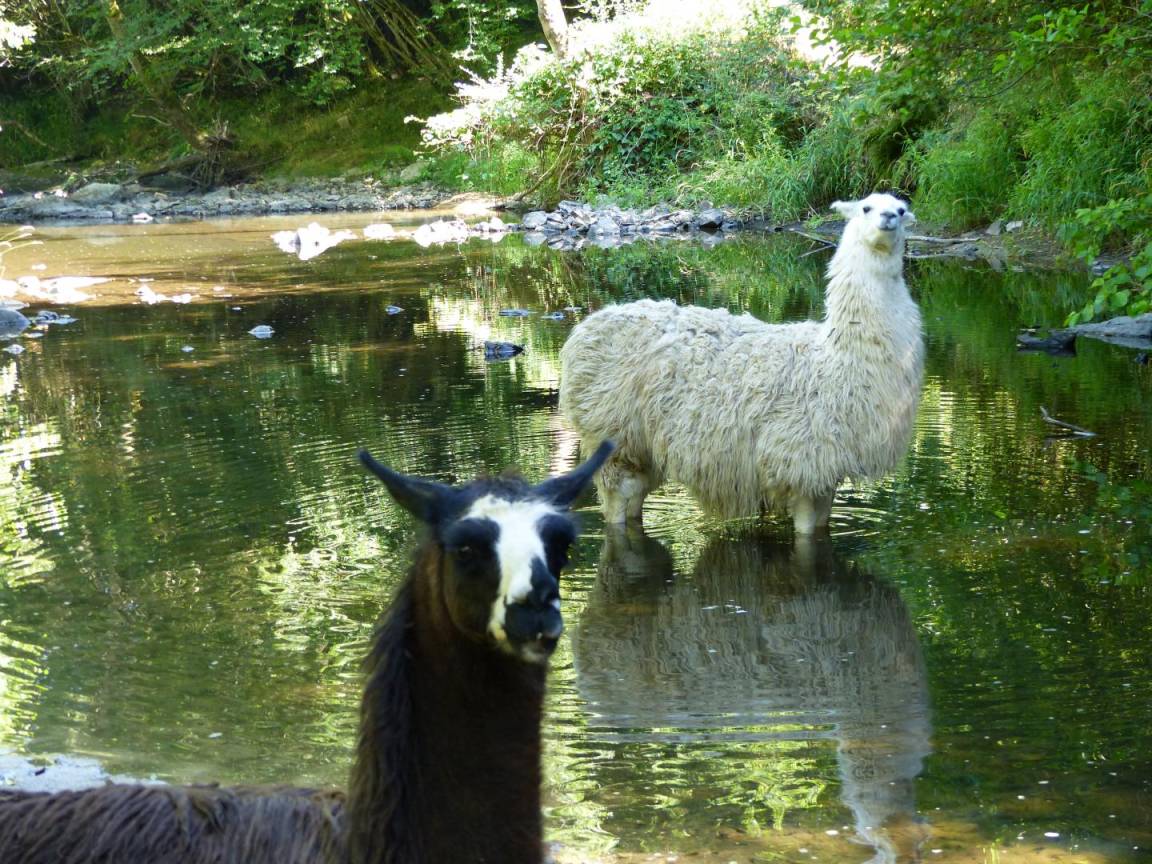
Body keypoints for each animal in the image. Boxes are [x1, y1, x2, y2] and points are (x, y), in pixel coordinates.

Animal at [559, 192, 924, 533]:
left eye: (901, 209)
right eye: (866, 208)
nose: (889, 218)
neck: (838, 358)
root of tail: (585, 327)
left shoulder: (825, 473)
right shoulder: (799, 461)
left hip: (641, 447)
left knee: (634, 498)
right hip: (612, 436)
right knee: (617, 500)